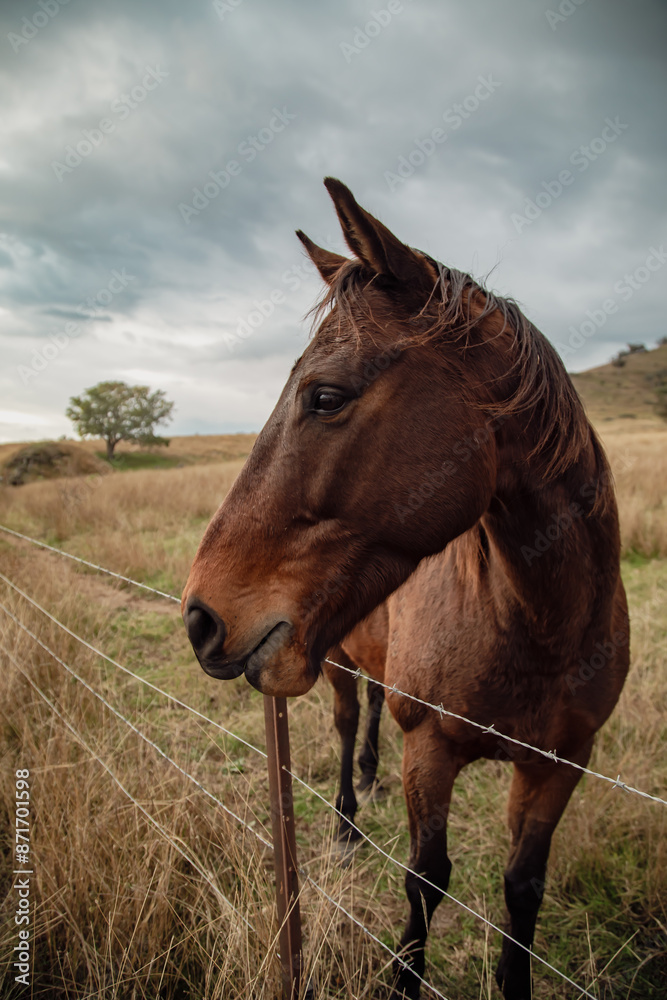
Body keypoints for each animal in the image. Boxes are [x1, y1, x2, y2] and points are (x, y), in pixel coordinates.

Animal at [182, 178, 629, 1000]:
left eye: (326, 397)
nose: (200, 617)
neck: (542, 625)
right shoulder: (430, 748)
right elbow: (426, 880)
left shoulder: (561, 763)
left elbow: (522, 889)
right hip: (333, 665)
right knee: (344, 722)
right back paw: (346, 824)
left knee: (364, 720)